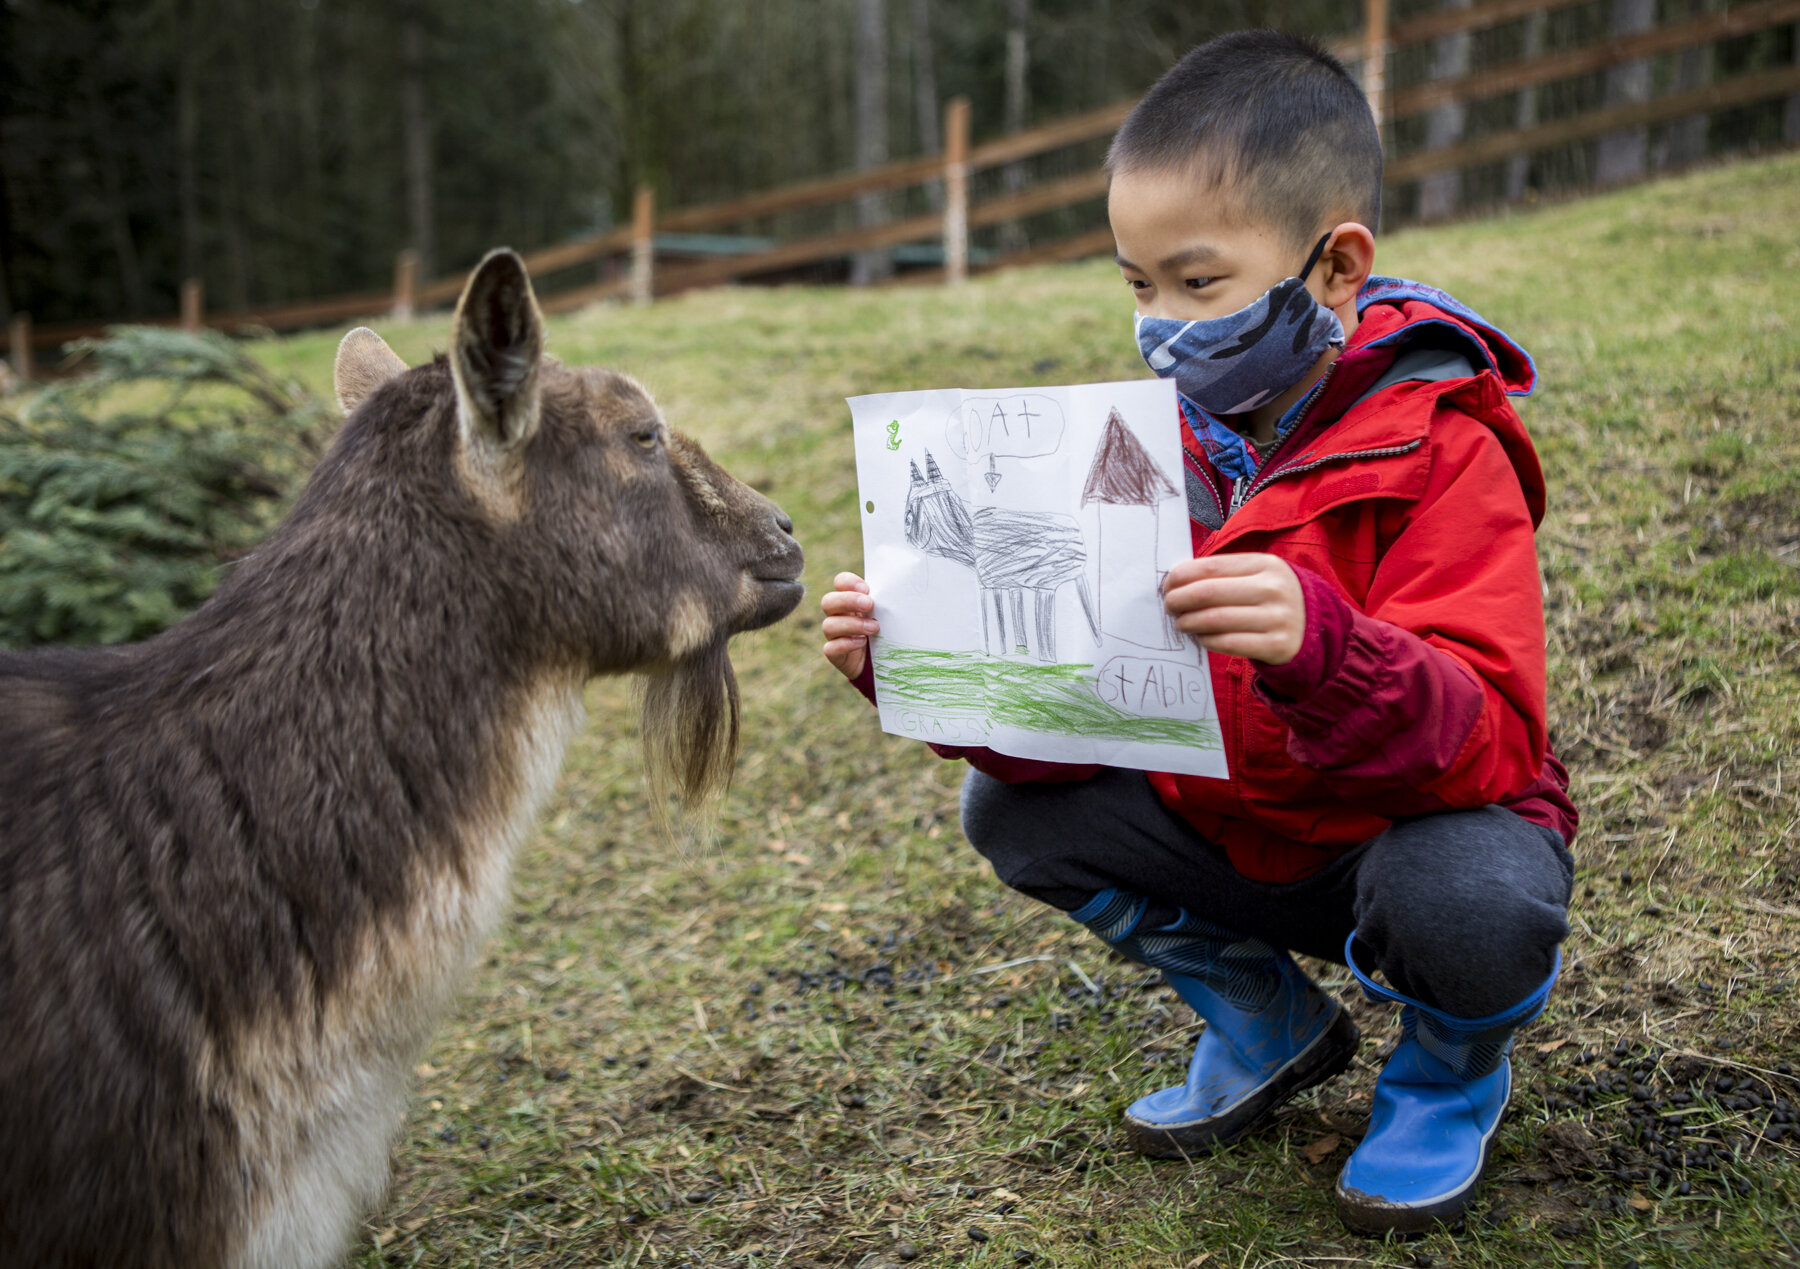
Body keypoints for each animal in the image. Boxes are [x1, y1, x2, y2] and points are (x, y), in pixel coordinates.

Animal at [907, 448, 1101, 662]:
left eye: (909, 515)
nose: (907, 534)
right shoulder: (1002, 583)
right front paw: (1014, 651)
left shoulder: (1000, 584)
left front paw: (995, 654)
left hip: (1049, 582)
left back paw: (1051, 659)